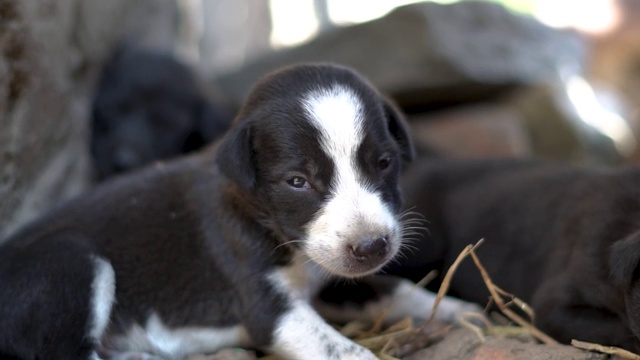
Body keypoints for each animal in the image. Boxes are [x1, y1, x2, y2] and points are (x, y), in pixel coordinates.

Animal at [0, 63, 476, 358]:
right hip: (71, 263)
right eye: (297, 181)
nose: (373, 246)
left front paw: (460, 311)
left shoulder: (331, 277)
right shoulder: (269, 308)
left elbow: (395, 289)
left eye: (384, 162)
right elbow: (342, 349)